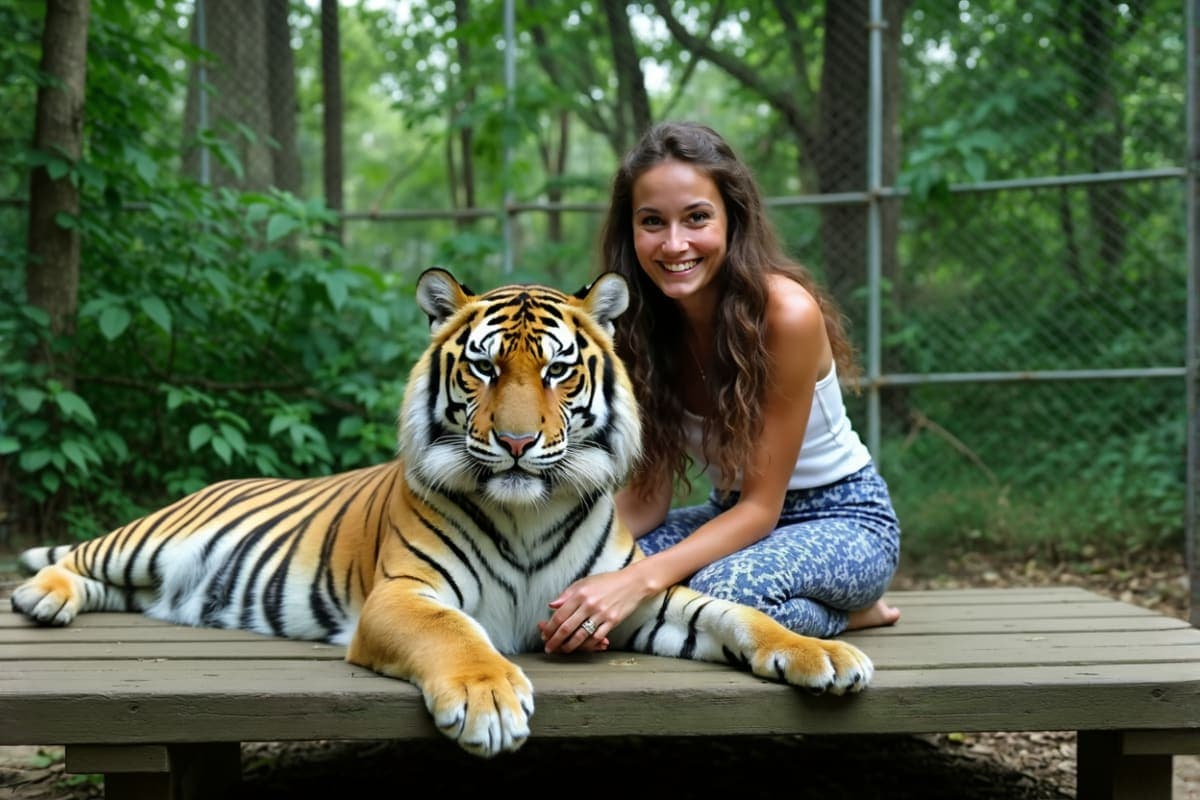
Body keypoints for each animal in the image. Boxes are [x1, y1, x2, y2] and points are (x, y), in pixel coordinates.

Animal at [11, 267, 874, 758]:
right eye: (485, 368)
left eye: (558, 371)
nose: (519, 442)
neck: (529, 511)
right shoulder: (404, 594)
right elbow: (454, 635)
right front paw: (489, 701)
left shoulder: (628, 598)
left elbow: (737, 615)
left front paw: (821, 655)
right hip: (150, 538)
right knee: (79, 555)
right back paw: (39, 598)